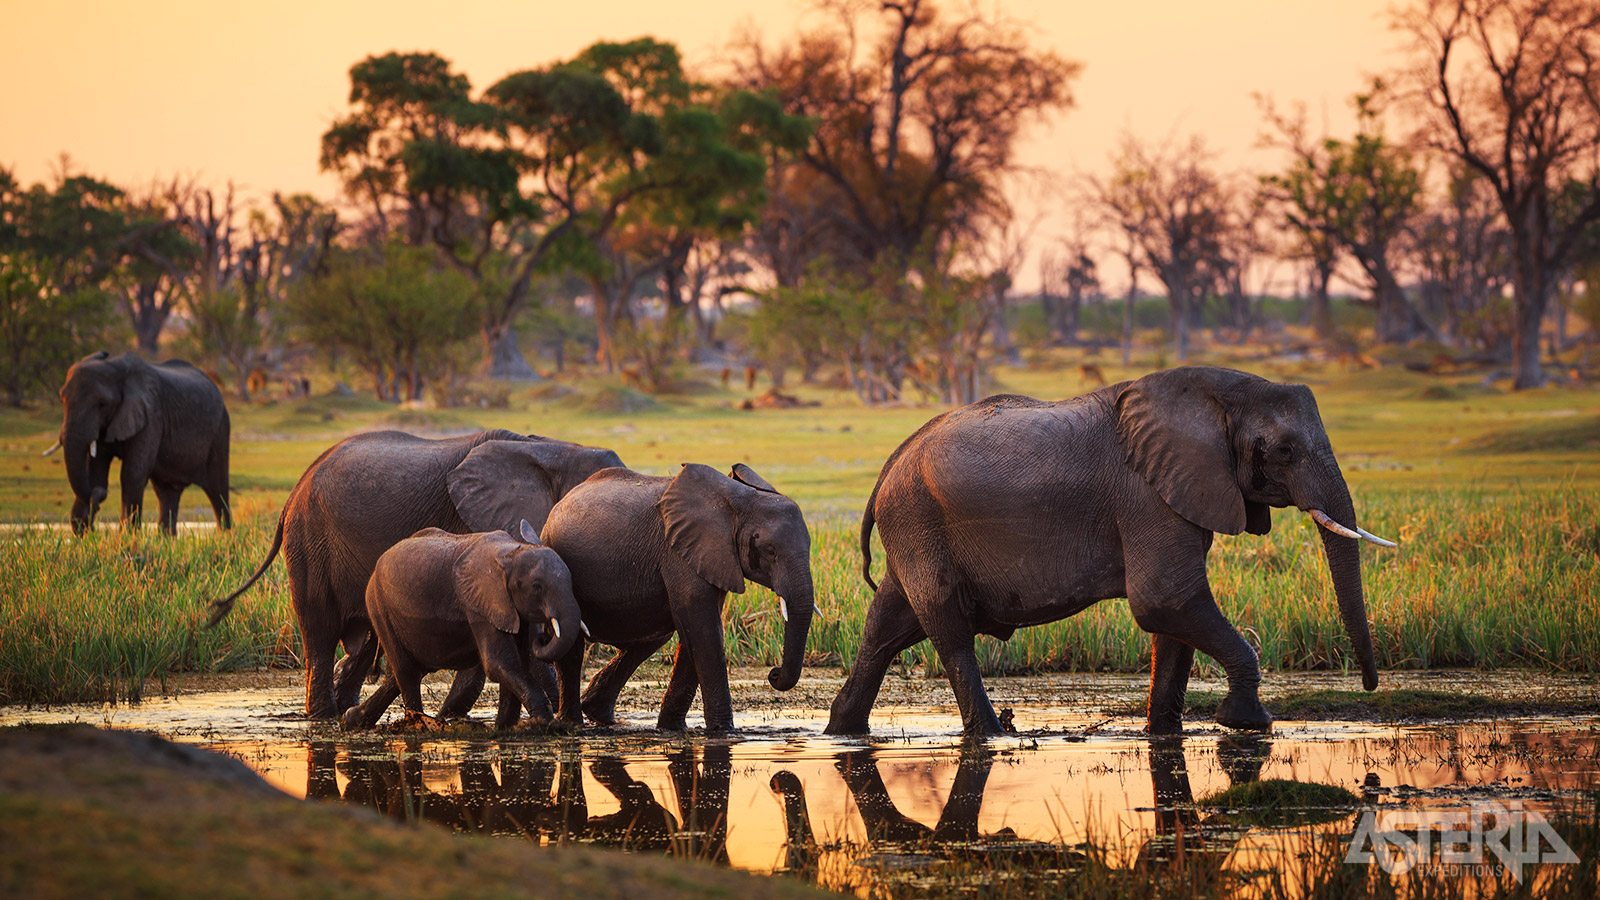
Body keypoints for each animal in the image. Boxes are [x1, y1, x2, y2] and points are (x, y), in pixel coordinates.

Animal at [44, 350, 233, 531]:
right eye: (62, 399)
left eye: (102, 404)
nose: (99, 497)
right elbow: (95, 473)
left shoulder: (151, 415)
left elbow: (132, 474)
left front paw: (127, 538)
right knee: (167, 493)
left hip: (220, 430)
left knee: (218, 492)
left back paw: (226, 537)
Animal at [340, 518, 585, 730]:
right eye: (537, 587)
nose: (545, 635)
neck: (512, 552)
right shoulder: (479, 605)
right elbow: (499, 663)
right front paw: (543, 723)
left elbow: (518, 663)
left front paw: (505, 728)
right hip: (378, 606)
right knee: (406, 671)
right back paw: (416, 725)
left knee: (405, 673)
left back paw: (351, 720)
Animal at [544, 461, 819, 730]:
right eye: (770, 550)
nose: (773, 673)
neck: (739, 499)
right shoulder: (678, 551)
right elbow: (703, 628)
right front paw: (724, 732)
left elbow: (696, 630)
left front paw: (673, 729)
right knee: (572, 645)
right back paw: (571, 724)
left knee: (652, 637)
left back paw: (598, 714)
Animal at [832, 365, 1395, 736]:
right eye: (1284, 450)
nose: (1370, 686)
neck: (1216, 396)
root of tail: (892, 461)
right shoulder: (1147, 494)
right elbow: (1165, 599)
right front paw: (1247, 723)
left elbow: (1174, 617)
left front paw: (1164, 733)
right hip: (917, 520)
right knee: (949, 632)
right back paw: (993, 733)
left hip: (913, 529)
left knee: (887, 624)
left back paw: (843, 729)